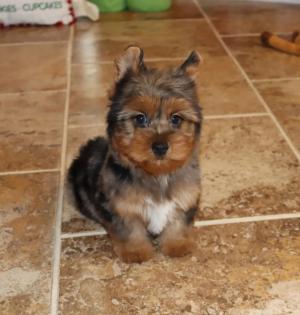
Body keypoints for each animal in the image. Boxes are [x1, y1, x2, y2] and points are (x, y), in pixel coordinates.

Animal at [69, 46, 203, 264]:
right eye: (140, 118)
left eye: (176, 119)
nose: (160, 146)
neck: (156, 174)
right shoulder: (120, 206)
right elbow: (130, 229)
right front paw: (136, 251)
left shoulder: (186, 197)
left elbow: (178, 222)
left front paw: (178, 245)